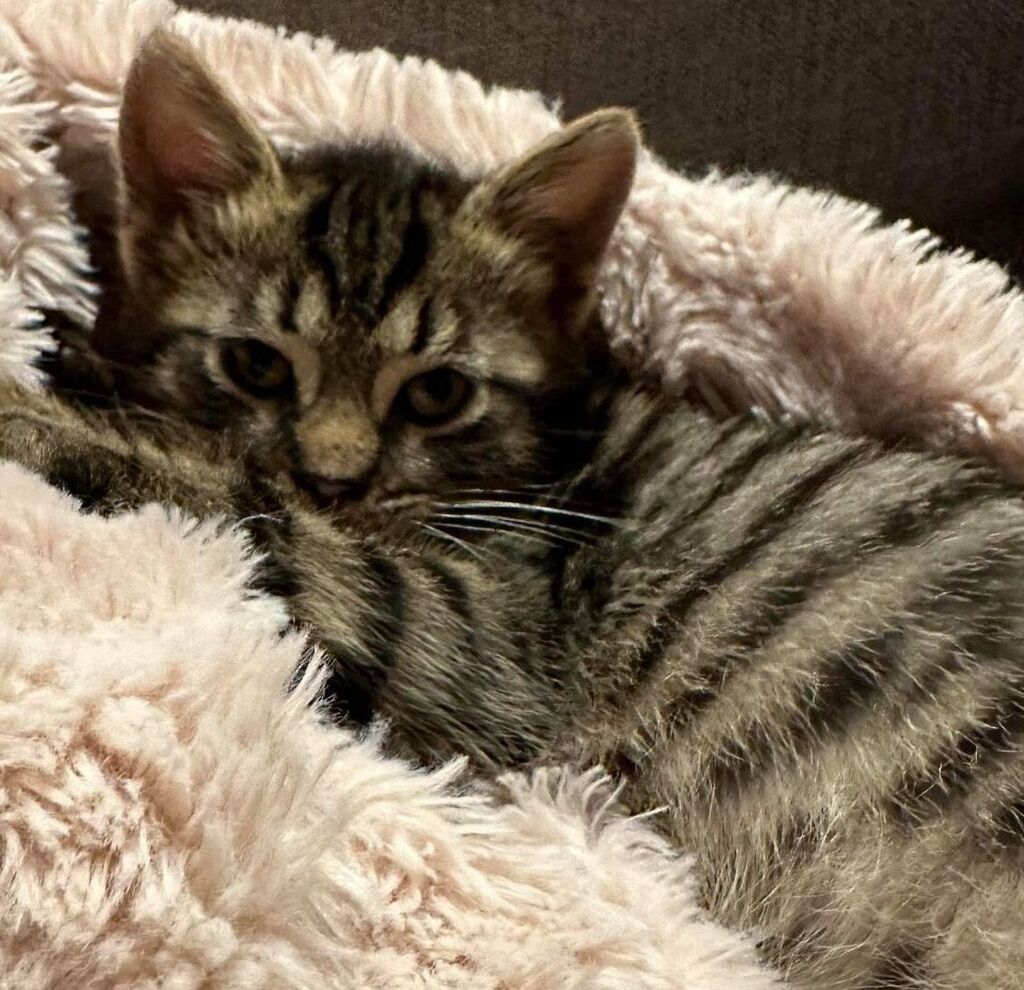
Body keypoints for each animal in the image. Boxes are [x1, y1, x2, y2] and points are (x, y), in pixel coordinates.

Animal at [19, 30, 1024, 989]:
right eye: (256, 365)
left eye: (437, 394)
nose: (336, 480)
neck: (550, 465)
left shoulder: (484, 641)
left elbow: (241, 503)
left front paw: (39, 407)